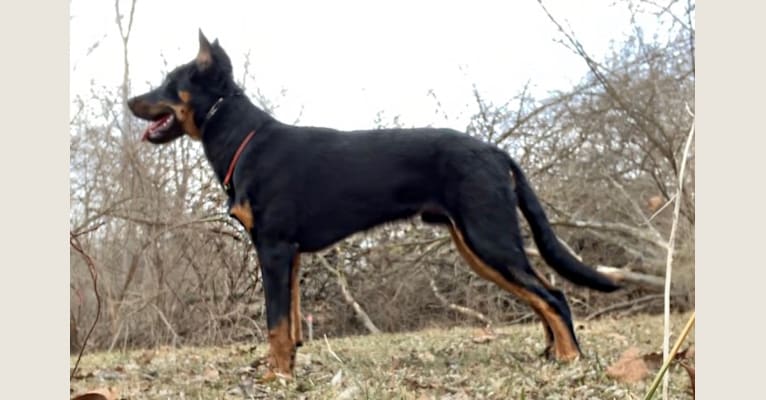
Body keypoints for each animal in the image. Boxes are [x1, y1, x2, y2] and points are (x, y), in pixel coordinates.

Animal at [130, 29, 624, 380]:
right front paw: (286, 368)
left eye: (169, 83)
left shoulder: (272, 248)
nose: (130, 100)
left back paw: (569, 359)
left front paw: (276, 378)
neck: (243, 140)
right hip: (476, 244)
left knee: (553, 296)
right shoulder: (289, 255)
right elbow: (290, 324)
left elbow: (274, 323)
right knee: (541, 296)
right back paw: (551, 353)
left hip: (488, 240)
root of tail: (496, 152)